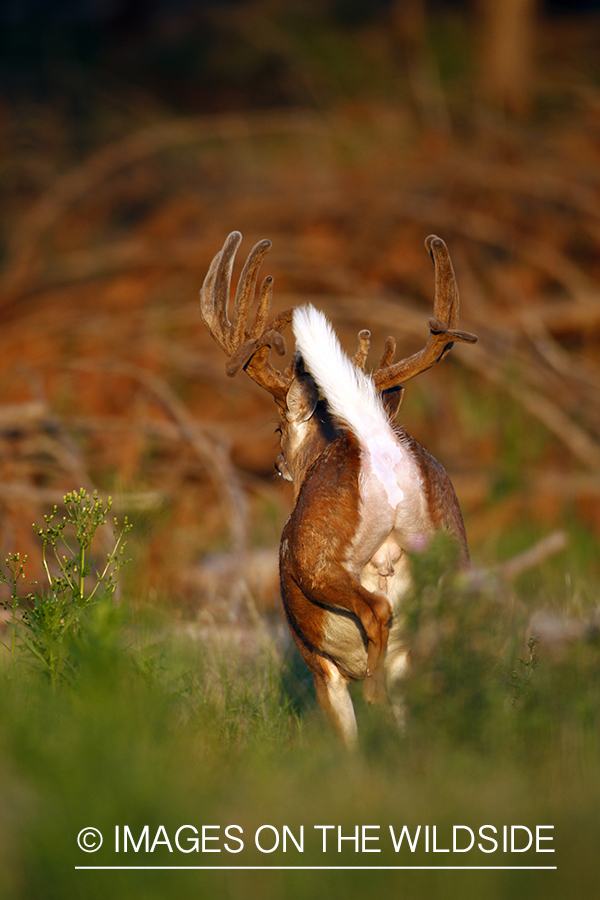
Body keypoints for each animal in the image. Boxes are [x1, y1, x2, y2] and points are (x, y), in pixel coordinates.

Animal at [202, 230, 478, 744]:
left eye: (278, 429)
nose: (277, 464)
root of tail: (375, 440)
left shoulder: (317, 663)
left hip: (319, 559)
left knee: (376, 609)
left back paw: (372, 686)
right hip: (451, 551)